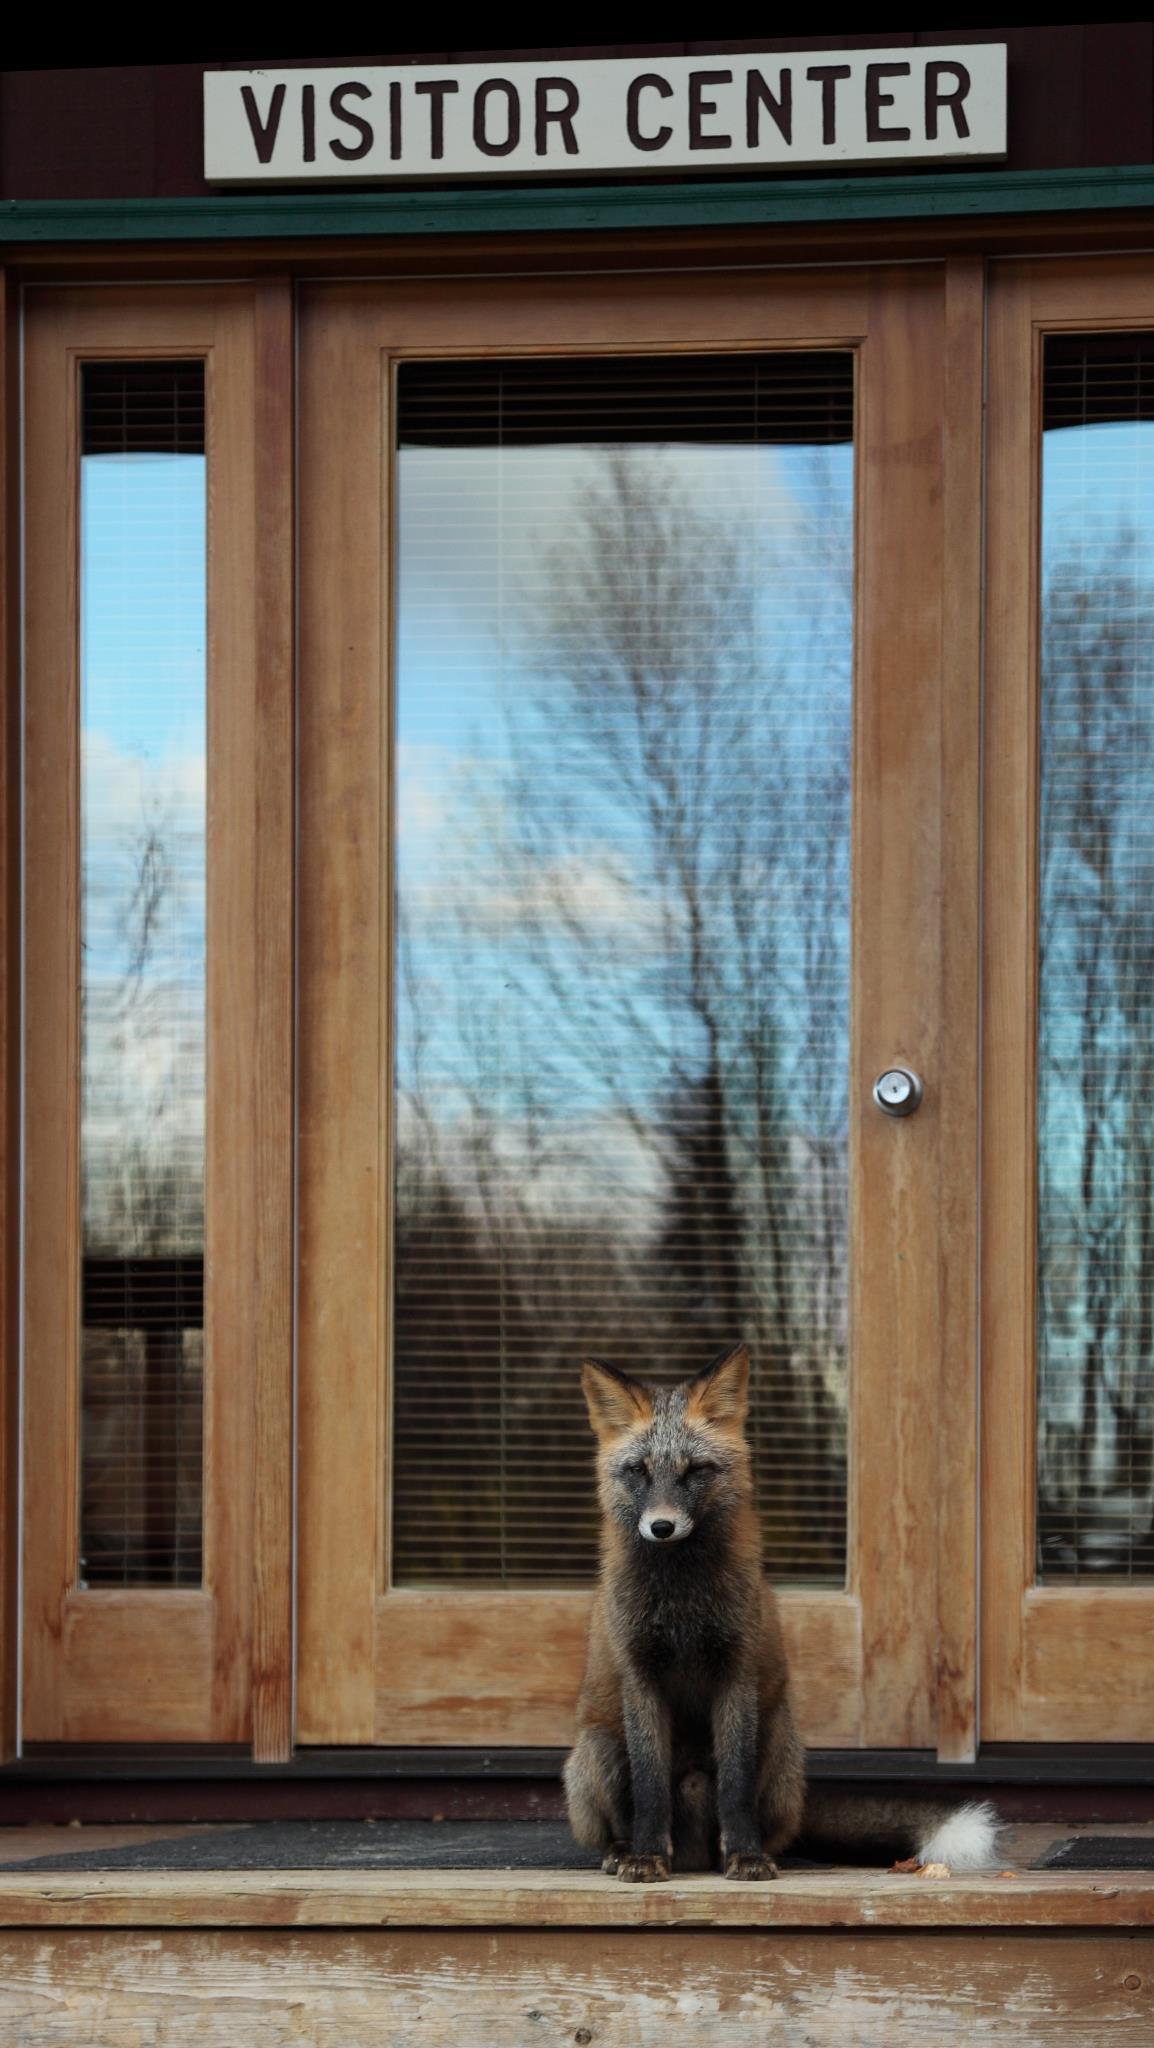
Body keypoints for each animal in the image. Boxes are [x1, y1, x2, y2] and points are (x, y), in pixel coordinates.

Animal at [563, 1342, 998, 1882]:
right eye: (639, 1471)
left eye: (695, 1471)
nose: (661, 1527)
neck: (683, 1603)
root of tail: (693, 1859)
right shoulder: (641, 1676)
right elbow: (649, 1785)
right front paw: (646, 1855)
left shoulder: (737, 1672)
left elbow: (735, 1785)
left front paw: (746, 1855)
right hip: (596, 1749)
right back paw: (623, 1851)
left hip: (779, 1739)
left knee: (768, 1826)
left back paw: (745, 1853)